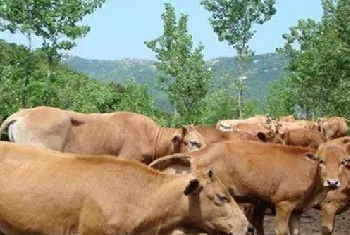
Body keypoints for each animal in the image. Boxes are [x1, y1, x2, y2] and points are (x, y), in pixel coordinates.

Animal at [148, 141, 348, 235]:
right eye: (321, 161)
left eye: (343, 162)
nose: (332, 182)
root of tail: (199, 152)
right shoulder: (283, 204)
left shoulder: (297, 210)